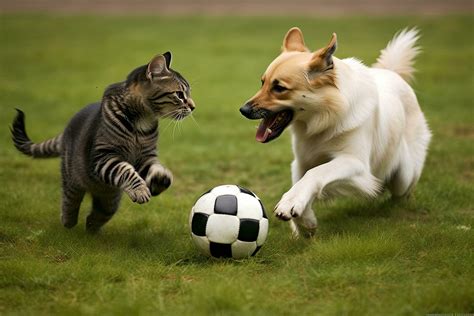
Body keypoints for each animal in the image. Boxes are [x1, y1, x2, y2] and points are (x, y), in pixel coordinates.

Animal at [10, 50, 194, 231]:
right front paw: (141, 190)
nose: (193, 107)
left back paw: (91, 227)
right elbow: (126, 171)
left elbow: (153, 167)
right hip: (72, 181)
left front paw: (161, 177)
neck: (142, 123)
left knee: (99, 214)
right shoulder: (104, 156)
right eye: (179, 94)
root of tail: (66, 130)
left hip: (109, 199)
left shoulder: (145, 157)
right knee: (70, 201)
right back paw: (68, 221)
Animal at [241, 27, 430, 238]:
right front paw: (305, 222)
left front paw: (291, 203)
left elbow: (315, 174)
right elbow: (301, 182)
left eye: (279, 88)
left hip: (404, 175)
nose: (243, 110)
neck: (324, 120)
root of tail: (392, 73)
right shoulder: (300, 163)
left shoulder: (355, 163)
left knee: (402, 190)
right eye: (262, 83)